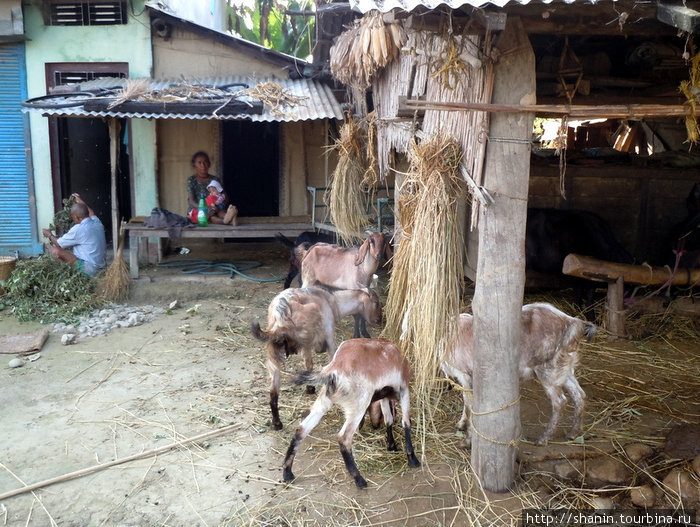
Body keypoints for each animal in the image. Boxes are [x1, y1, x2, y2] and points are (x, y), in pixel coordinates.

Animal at [282, 340, 418, 488]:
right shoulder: (404, 389)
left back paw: (287, 472)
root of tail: (334, 368)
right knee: (344, 437)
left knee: (302, 429)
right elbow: (406, 421)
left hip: (325, 399)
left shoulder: (384, 396)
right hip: (359, 403)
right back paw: (359, 479)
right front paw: (412, 458)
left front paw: (392, 446)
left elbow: (389, 419)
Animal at [440, 304, 592, 448]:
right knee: (579, 394)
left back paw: (543, 439)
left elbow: (469, 404)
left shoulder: (466, 374)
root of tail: (571, 322)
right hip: (564, 367)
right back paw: (574, 433)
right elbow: (465, 400)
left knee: (560, 401)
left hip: (548, 369)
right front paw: (461, 424)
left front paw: (467, 439)